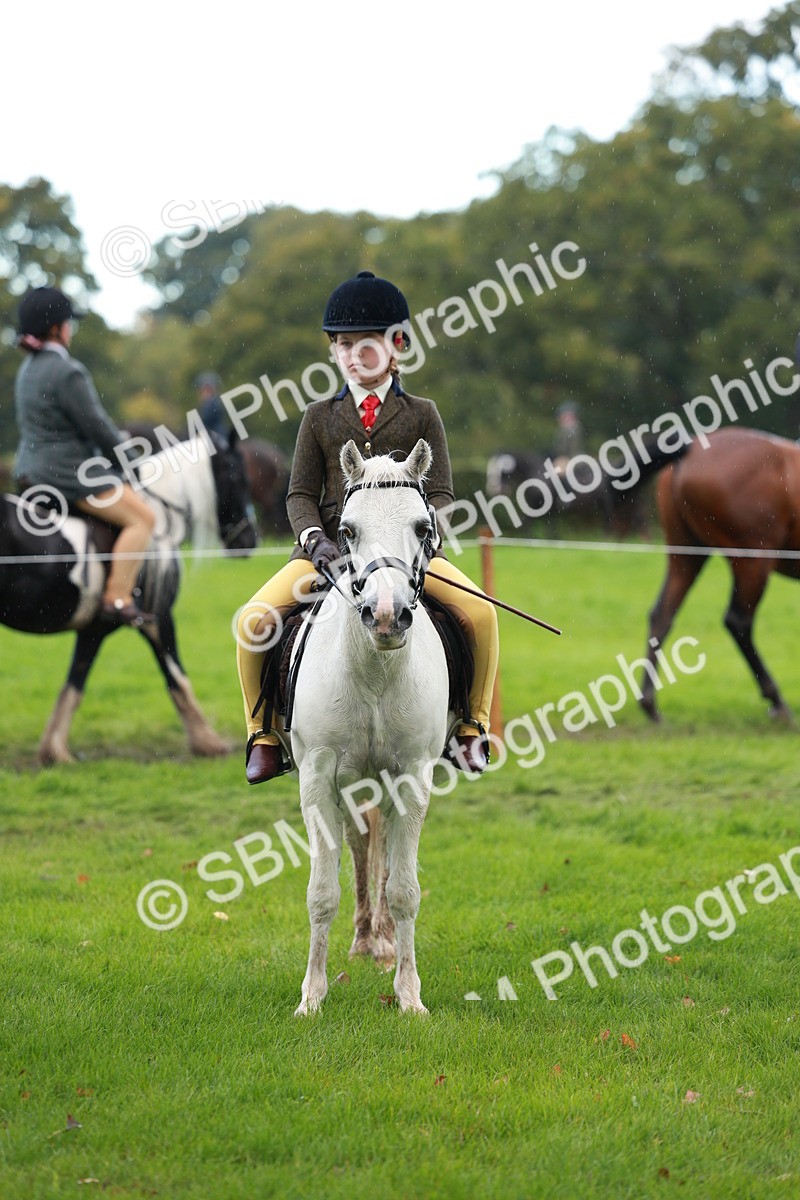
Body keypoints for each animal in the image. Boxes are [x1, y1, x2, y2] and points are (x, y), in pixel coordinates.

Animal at [0, 433, 257, 763]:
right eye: (240, 477)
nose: (250, 541)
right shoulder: (158, 619)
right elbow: (177, 678)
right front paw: (209, 743)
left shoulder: (93, 631)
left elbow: (74, 684)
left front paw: (54, 752)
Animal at [287, 438, 449, 1016]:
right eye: (347, 529)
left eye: (423, 526)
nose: (385, 615)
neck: (376, 673)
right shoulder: (317, 780)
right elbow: (321, 893)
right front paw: (311, 997)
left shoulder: (412, 779)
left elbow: (404, 890)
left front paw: (409, 995)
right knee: (361, 843)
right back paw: (364, 939)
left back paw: (378, 942)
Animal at [640, 426, 800, 721]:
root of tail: (692, 447)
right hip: (753, 560)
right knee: (738, 621)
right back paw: (776, 699)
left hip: (686, 556)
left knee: (662, 614)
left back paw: (649, 704)